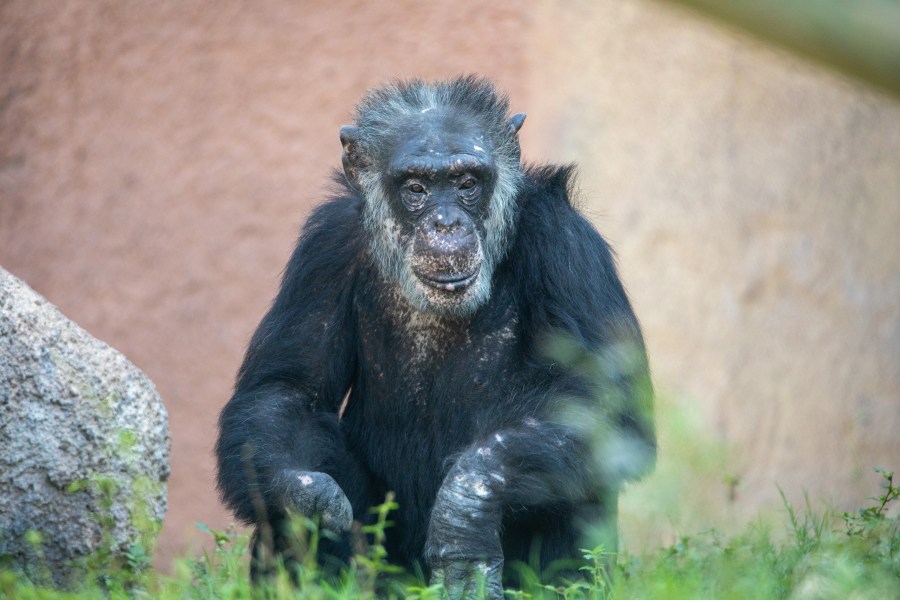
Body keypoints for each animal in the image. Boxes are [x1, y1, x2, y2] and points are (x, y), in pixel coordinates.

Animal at [218, 76, 652, 596]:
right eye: (416, 188)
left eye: (467, 183)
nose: (446, 222)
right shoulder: (322, 252)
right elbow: (287, 392)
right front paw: (306, 503)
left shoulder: (568, 248)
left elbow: (605, 407)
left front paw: (465, 516)